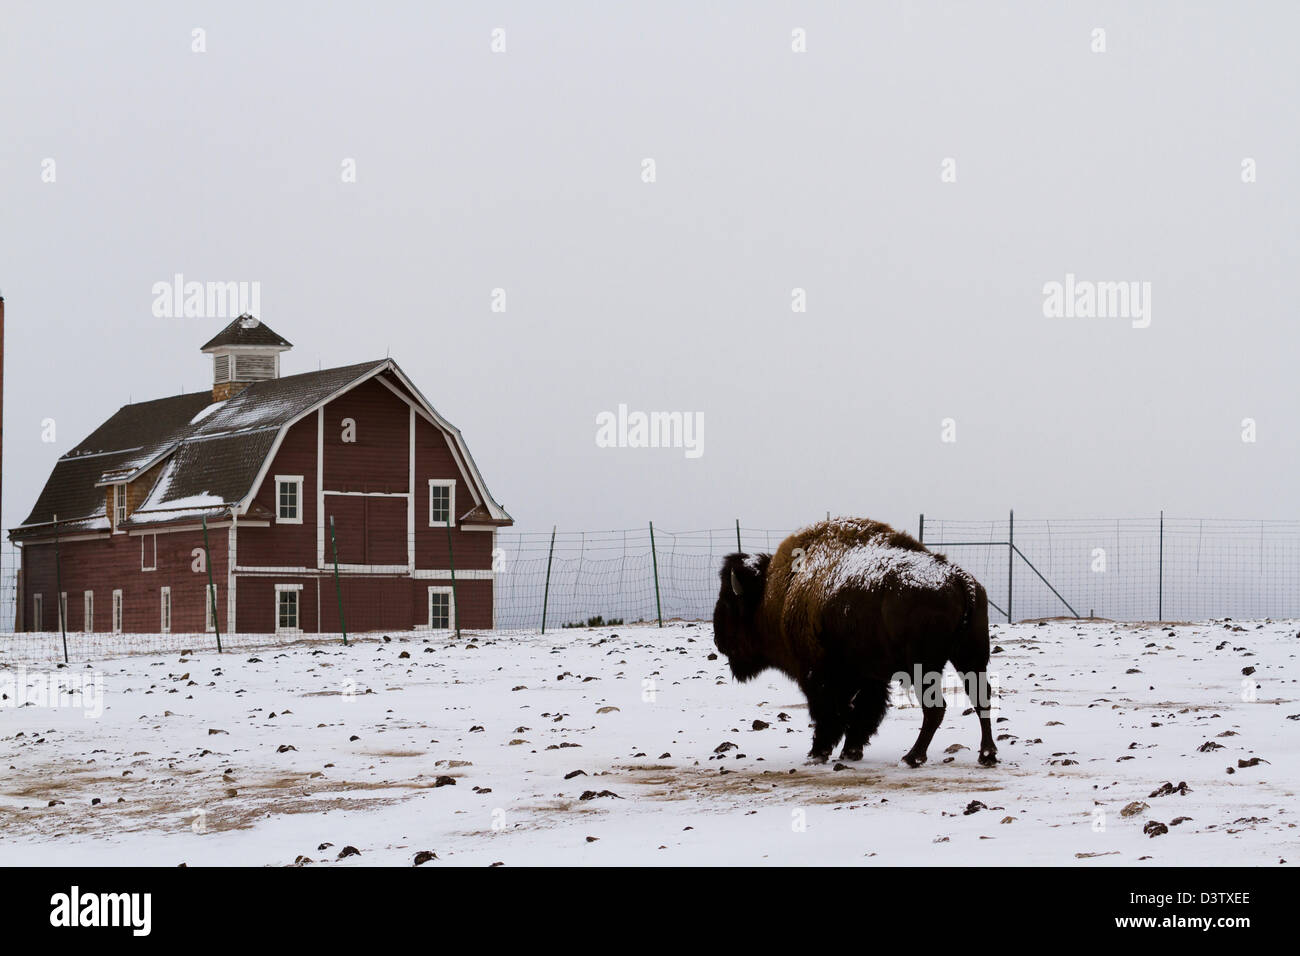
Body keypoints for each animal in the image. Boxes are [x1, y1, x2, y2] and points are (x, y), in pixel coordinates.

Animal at [713, 517, 998, 768]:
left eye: (728, 603)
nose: (718, 639)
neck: (776, 595)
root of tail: (958, 578)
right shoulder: (870, 677)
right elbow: (863, 712)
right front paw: (851, 751)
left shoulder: (819, 676)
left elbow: (830, 712)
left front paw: (818, 753)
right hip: (971, 656)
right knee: (980, 698)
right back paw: (986, 755)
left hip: (926, 665)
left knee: (936, 708)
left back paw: (912, 757)